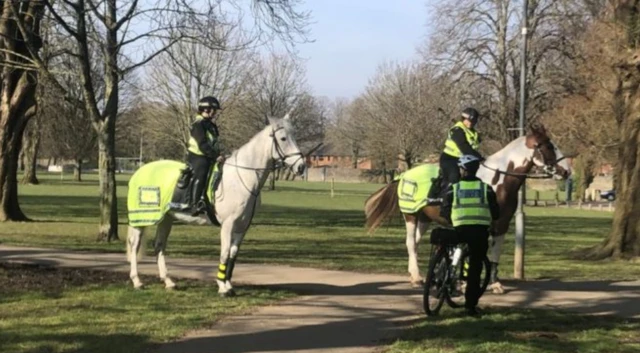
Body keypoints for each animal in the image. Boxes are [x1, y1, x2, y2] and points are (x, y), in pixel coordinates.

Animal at [126, 113, 306, 294]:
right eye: (283, 138)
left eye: (295, 136)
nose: (301, 166)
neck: (242, 177)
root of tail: (139, 171)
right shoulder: (228, 224)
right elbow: (224, 253)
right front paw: (222, 286)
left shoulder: (242, 227)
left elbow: (233, 254)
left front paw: (229, 284)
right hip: (141, 218)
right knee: (134, 245)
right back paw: (137, 281)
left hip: (166, 219)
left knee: (159, 246)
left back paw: (168, 281)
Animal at [362, 124, 572, 292]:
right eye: (549, 146)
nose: (567, 171)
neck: (497, 180)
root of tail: (404, 175)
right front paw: (464, 282)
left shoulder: (501, 225)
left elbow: (494, 253)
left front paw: (494, 283)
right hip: (410, 216)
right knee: (410, 243)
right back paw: (417, 277)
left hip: (424, 218)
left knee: (415, 242)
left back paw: (414, 276)